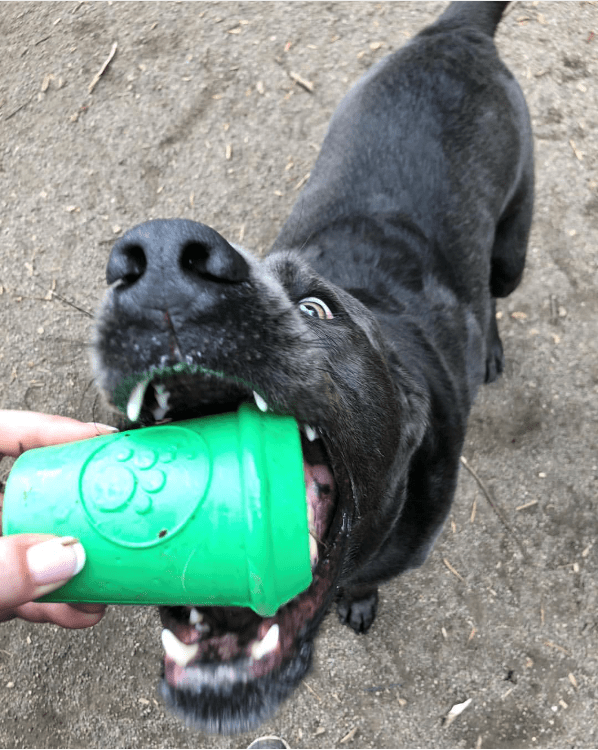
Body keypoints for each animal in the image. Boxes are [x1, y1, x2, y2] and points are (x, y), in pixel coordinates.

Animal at [92, 1, 536, 736]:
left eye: (316, 307)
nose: (158, 261)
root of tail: (457, 32)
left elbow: (364, 579)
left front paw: (358, 598)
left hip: (511, 247)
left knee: (497, 291)